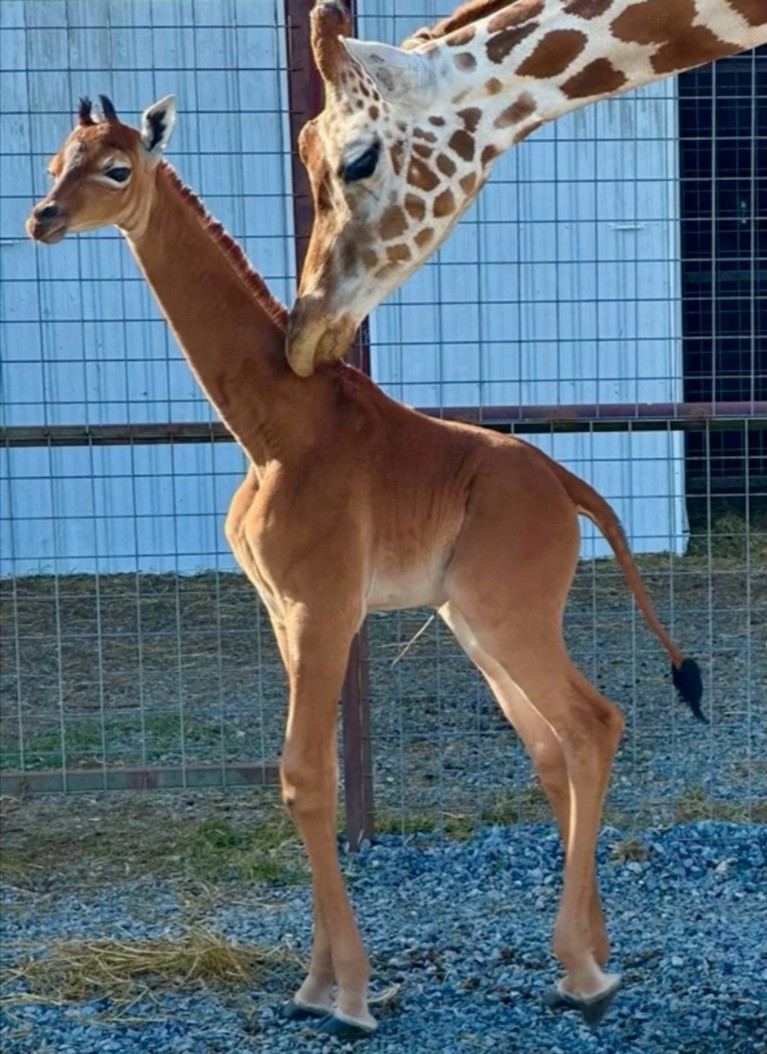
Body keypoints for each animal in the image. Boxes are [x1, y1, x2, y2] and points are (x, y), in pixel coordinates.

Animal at [26, 92, 703, 1037]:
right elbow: (308, 779)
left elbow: (305, 776)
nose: (41, 218)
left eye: (117, 168)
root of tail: (569, 486)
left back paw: (583, 973)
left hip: (509, 614)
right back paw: (591, 957)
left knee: (591, 723)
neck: (273, 427)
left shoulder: (324, 607)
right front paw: (316, 984)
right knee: (550, 742)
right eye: (56, 160)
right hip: (473, 623)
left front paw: (345, 994)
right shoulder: (283, 612)